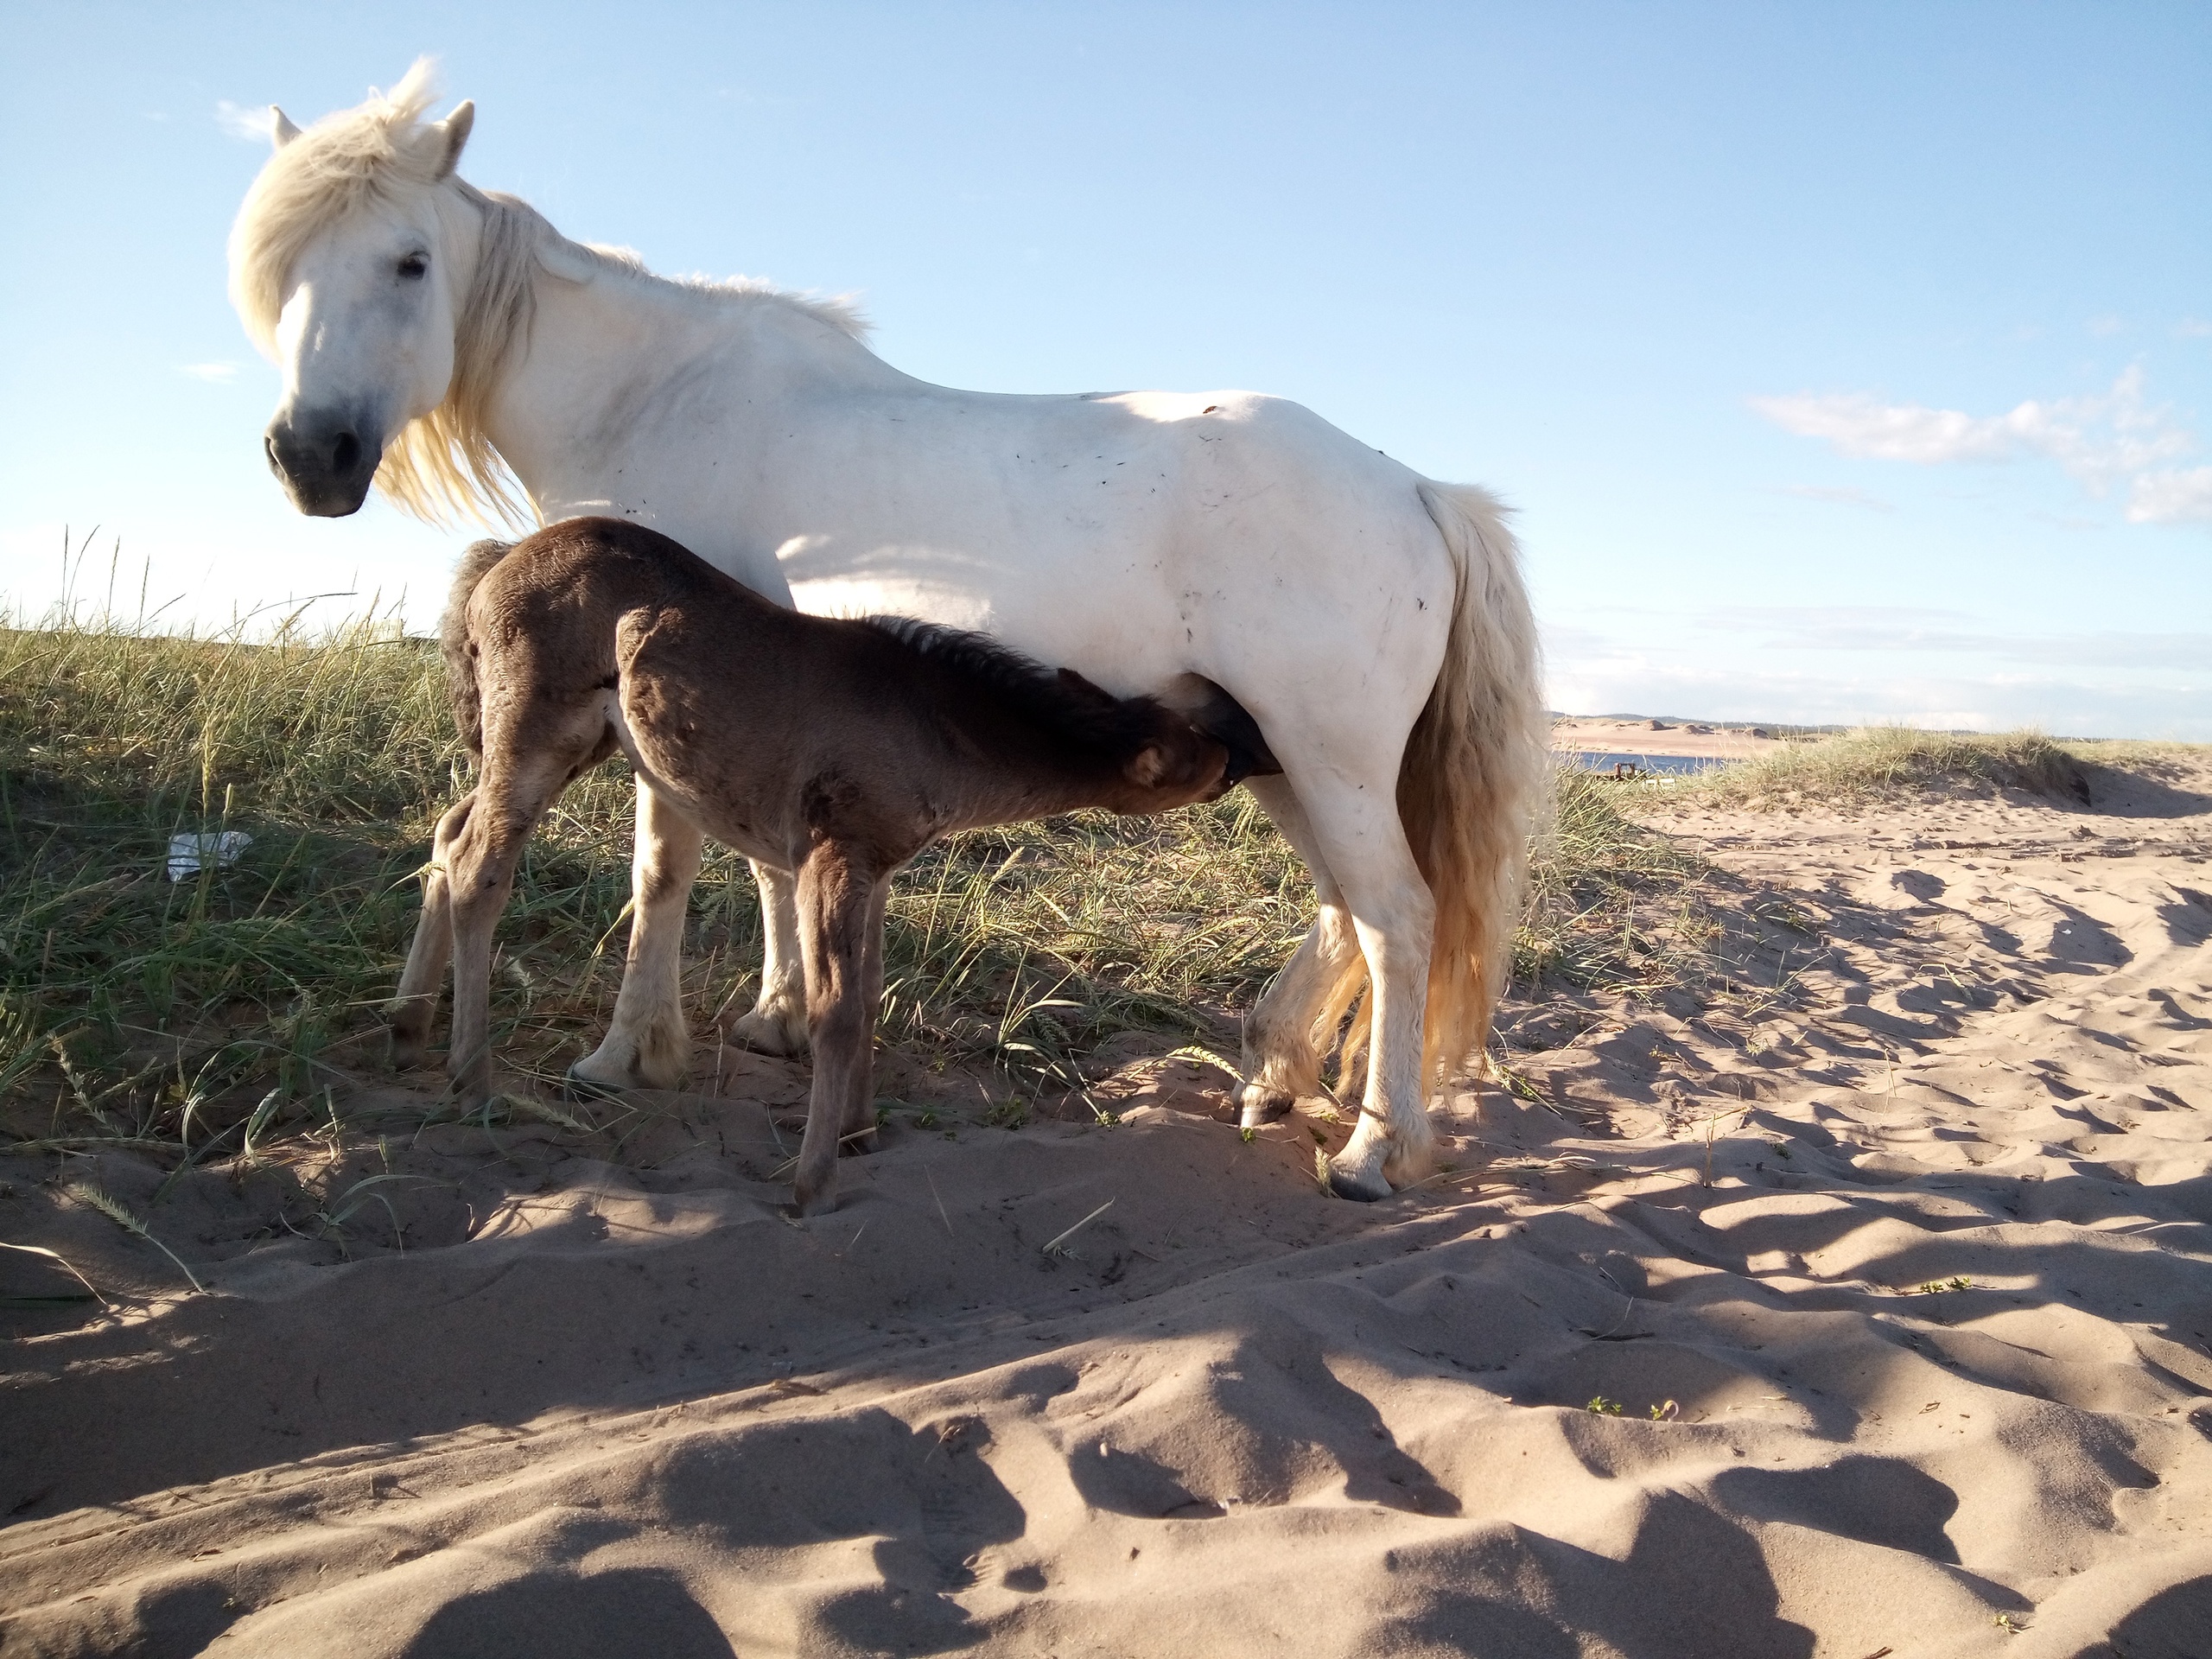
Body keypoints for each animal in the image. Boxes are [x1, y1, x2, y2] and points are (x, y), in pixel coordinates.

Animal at [387, 526, 1238, 1211]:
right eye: (1195, 754)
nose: (1241, 749)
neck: (930, 722)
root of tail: (501, 557)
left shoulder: (876, 870)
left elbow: (867, 995)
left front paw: (860, 1133)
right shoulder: (834, 854)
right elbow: (835, 1010)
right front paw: (813, 1183)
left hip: (577, 744)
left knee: (449, 835)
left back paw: (409, 1023)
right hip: (538, 732)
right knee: (480, 869)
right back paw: (471, 1077)